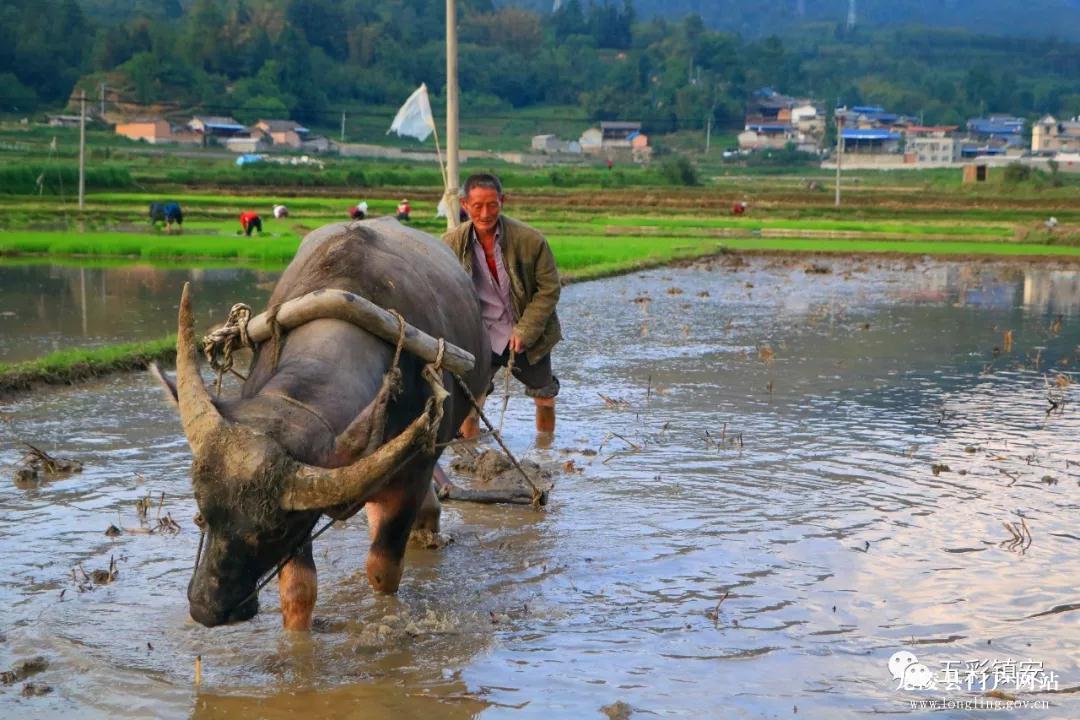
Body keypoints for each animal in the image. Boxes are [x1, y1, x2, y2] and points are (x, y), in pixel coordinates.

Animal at [156, 218, 490, 629]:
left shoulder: (411, 475)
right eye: (203, 512)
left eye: (274, 529)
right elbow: (299, 589)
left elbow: (383, 569)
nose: (206, 608)